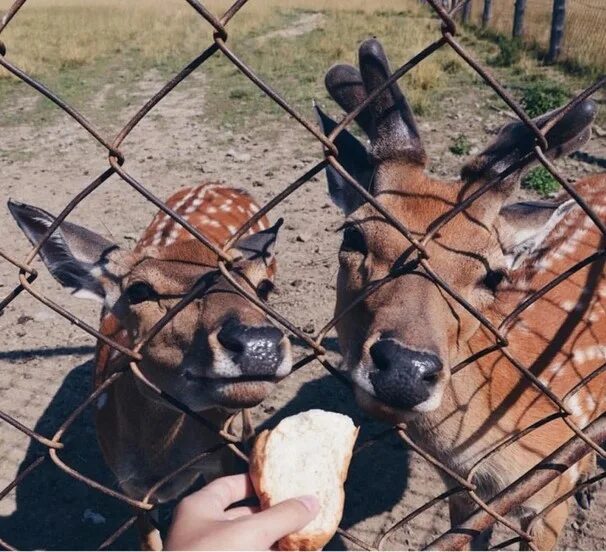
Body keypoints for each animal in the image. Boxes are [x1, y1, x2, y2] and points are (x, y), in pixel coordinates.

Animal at [8, 182, 294, 548]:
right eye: (139, 290)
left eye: (263, 287)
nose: (259, 344)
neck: (162, 464)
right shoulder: (128, 485)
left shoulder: (220, 461)